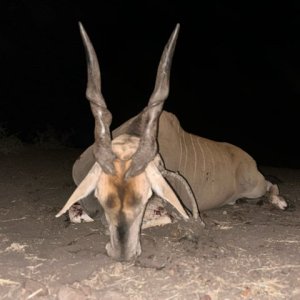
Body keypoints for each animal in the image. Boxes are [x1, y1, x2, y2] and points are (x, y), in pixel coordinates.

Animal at [56, 22, 288, 260]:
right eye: (101, 196)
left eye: (147, 195)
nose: (122, 253)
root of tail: (249, 160)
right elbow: (76, 213)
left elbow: (165, 215)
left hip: (255, 186)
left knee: (270, 185)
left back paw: (279, 201)